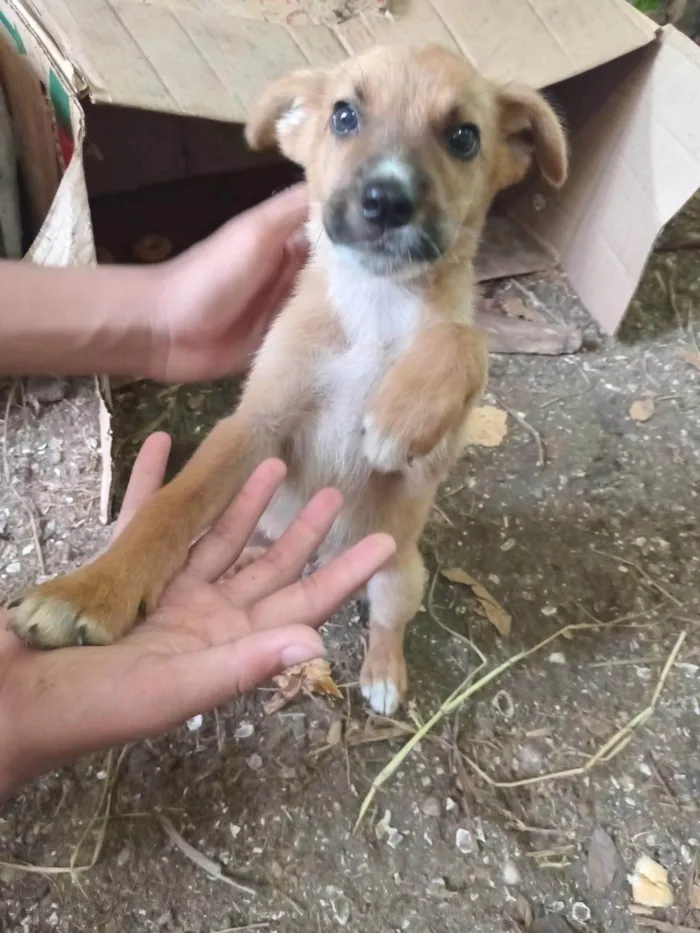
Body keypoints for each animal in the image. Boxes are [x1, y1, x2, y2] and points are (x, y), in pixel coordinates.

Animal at [10, 43, 568, 712]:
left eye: (464, 137)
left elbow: (465, 338)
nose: (386, 200)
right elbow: (171, 505)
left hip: (399, 571)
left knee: (388, 620)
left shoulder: (427, 464)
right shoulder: (255, 424)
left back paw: (383, 675)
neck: (375, 303)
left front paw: (401, 412)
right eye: (345, 116)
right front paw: (90, 590)